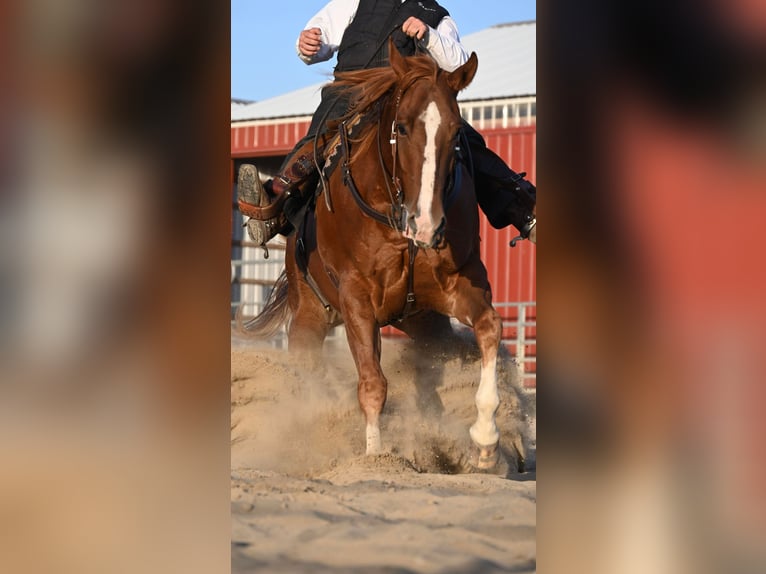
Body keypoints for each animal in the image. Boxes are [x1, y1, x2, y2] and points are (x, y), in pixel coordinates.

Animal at [240, 46, 504, 472]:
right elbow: (372, 382)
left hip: (425, 322)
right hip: (309, 316)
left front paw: (485, 440)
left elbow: (490, 328)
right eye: (403, 127)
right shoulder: (356, 299)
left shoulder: (461, 286)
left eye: (455, 132)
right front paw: (375, 455)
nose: (426, 224)